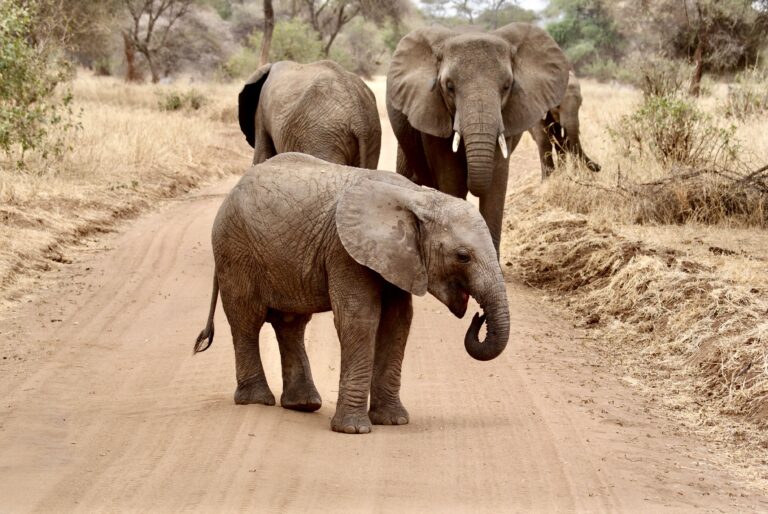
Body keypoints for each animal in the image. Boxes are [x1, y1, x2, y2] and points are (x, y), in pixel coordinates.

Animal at [194, 153, 510, 434]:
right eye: (462, 256)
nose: (478, 317)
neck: (417, 197)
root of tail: (231, 192)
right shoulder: (345, 252)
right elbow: (360, 319)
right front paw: (354, 429)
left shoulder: (398, 259)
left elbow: (398, 322)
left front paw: (394, 421)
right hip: (234, 250)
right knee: (246, 320)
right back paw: (257, 400)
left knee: (291, 324)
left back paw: (303, 404)